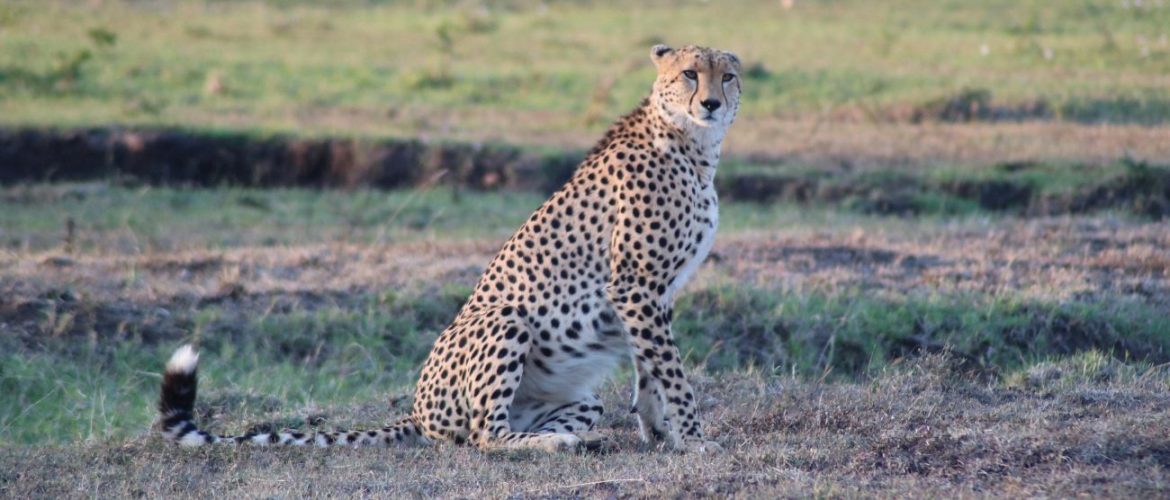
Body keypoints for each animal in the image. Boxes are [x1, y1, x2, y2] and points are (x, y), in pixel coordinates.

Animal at [158, 44, 742, 454]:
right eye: (690, 74)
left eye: (727, 75)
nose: (712, 102)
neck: (693, 146)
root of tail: (417, 412)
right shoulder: (635, 286)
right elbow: (672, 372)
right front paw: (694, 437)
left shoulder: (652, 292)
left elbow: (652, 370)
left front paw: (661, 433)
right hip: (506, 318)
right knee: (484, 436)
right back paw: (558, 443)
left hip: (579, 396)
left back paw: (581, 438)